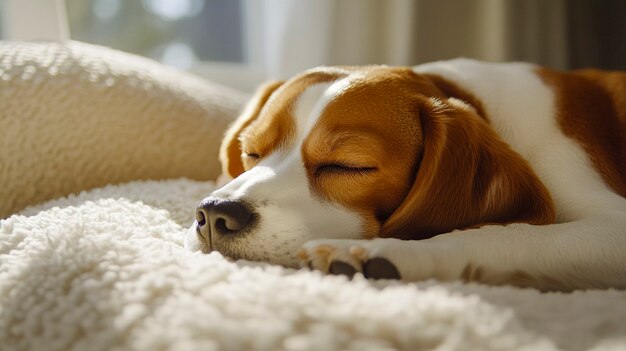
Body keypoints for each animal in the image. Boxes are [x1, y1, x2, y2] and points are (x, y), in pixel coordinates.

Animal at [183, 59, 620, 292]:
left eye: (347, 165)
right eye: (252, 152)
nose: (215, 213)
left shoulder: (610, 227)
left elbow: (509, 235)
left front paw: (387, 253)